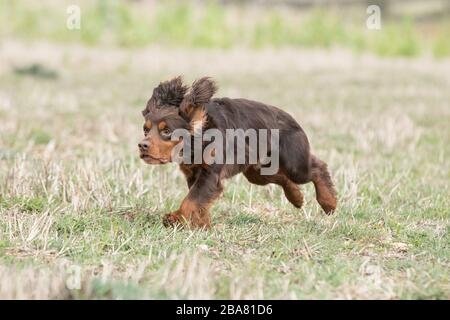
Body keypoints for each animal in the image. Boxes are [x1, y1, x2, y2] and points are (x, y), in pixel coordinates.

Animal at [139, 76, 336, 229]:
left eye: (166, 131)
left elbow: (192, 200)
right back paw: (297, 198)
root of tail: (291, 118)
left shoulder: (209, 174)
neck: (199, 137)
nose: (142, 146)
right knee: (282, 178)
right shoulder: (194, 174)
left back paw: (329, 203)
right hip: (259, 172)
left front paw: (175, 218)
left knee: (318, 167)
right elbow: (200, 201)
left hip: (294, 164)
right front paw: (202, 226)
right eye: (145, 130)